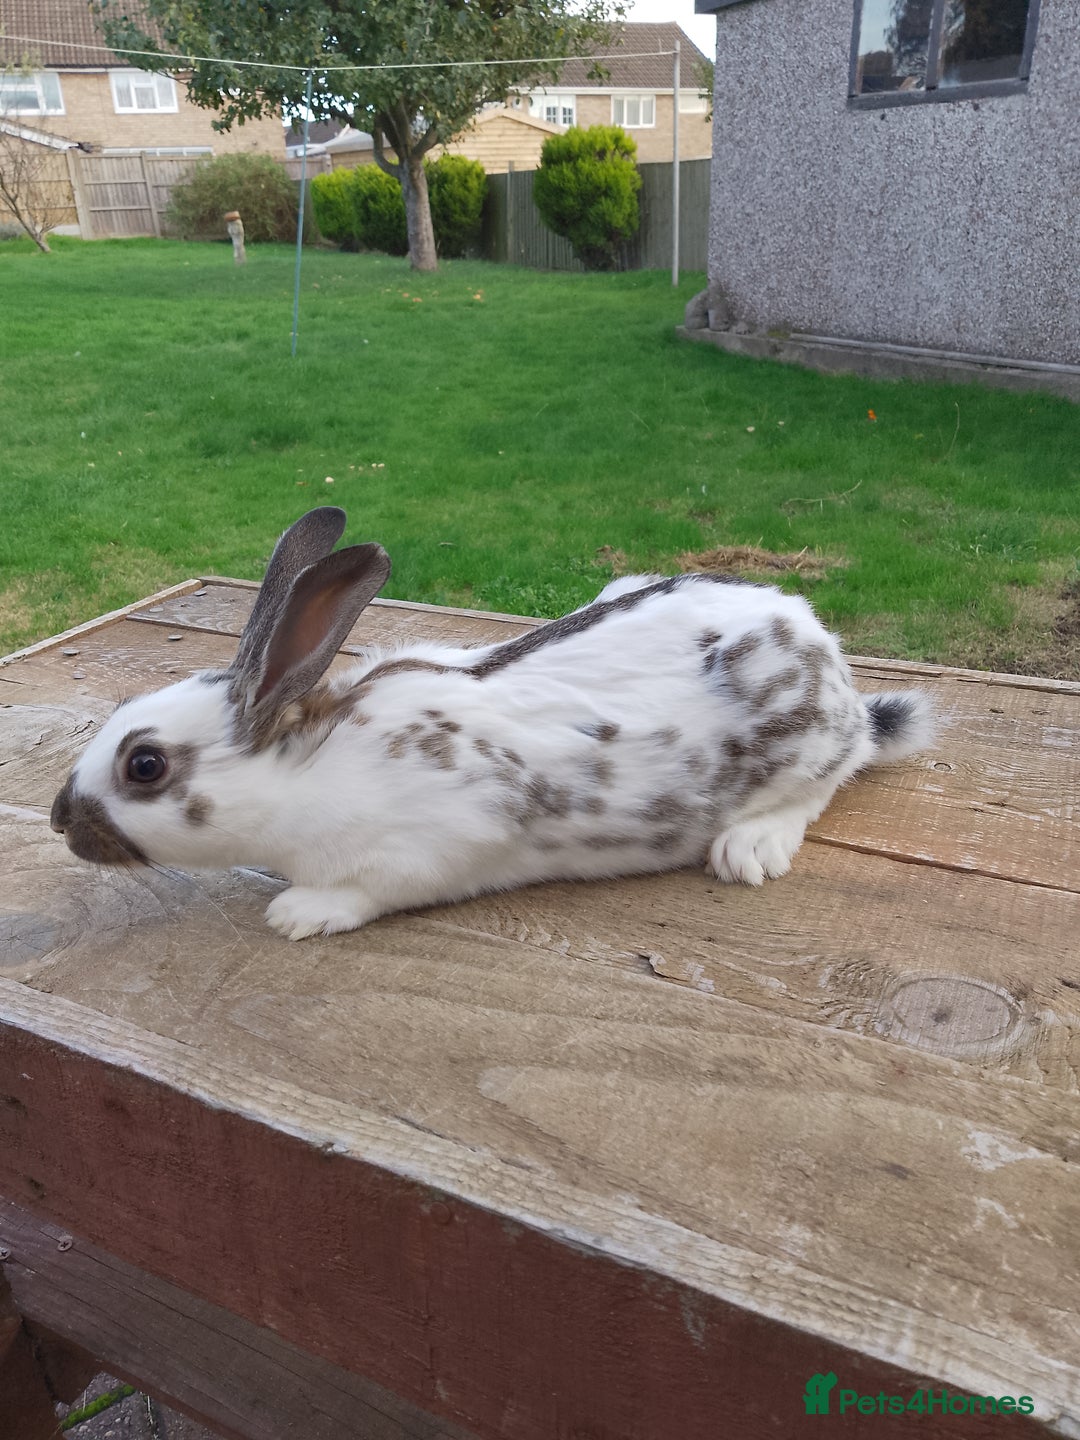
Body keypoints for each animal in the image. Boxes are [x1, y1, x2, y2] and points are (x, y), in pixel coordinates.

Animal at [51, 507, 934, 940]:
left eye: (145, 765)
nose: (61, 819)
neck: (308, 768)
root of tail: (822, 648)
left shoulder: (428, 847)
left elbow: (368, 891)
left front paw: (299, 915)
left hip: (806, 742)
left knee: (832, 775)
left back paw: (750, 848)